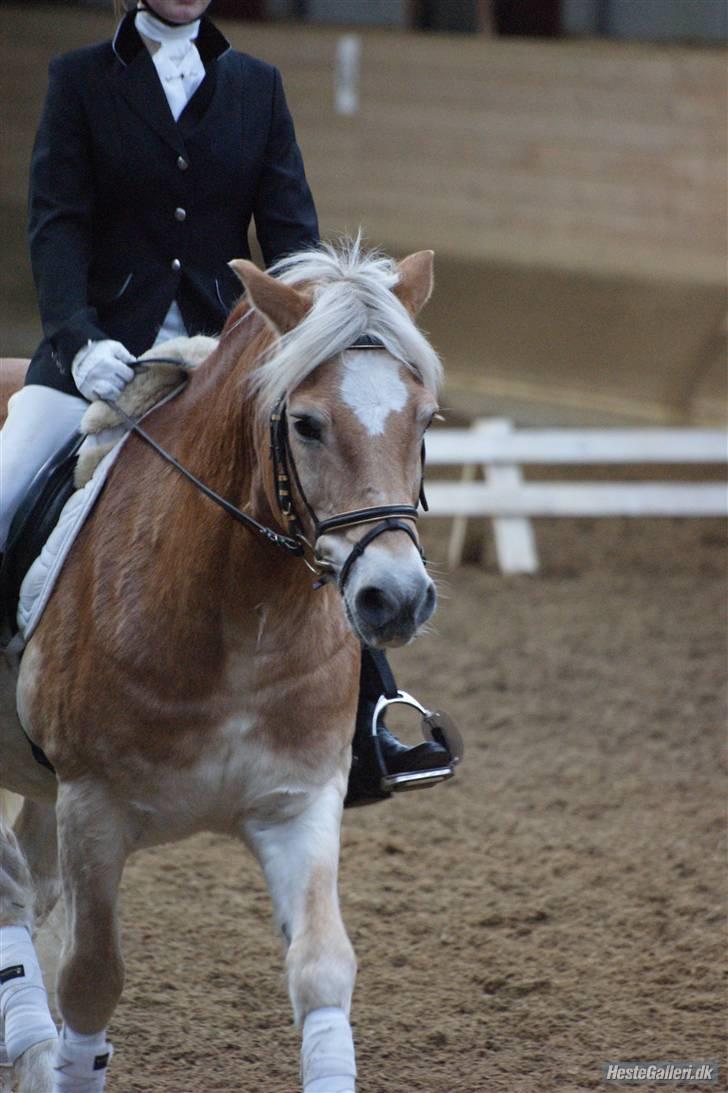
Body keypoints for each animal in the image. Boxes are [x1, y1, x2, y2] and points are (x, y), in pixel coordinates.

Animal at [0, 241, 441, 1093]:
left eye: (425, 419)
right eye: (306, 424)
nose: (397, 599)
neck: (242, 622)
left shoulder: (300, 802)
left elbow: (322, 968)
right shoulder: (92, 807)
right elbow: (92, 979)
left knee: (18, 888)